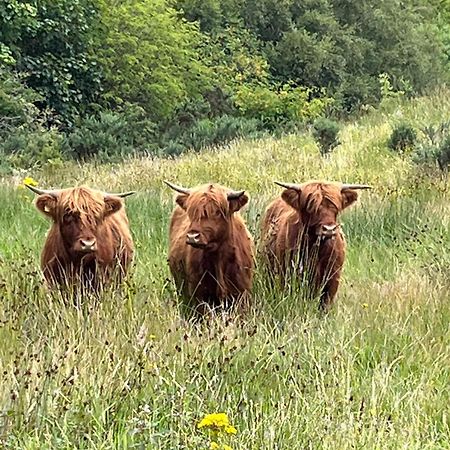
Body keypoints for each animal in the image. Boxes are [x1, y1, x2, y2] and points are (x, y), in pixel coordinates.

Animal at [165, 181, 255, 314]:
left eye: (217, 212)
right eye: (191, 212)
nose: (192, 237)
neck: (218, 258)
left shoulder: (241, 293)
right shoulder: (199, 295)